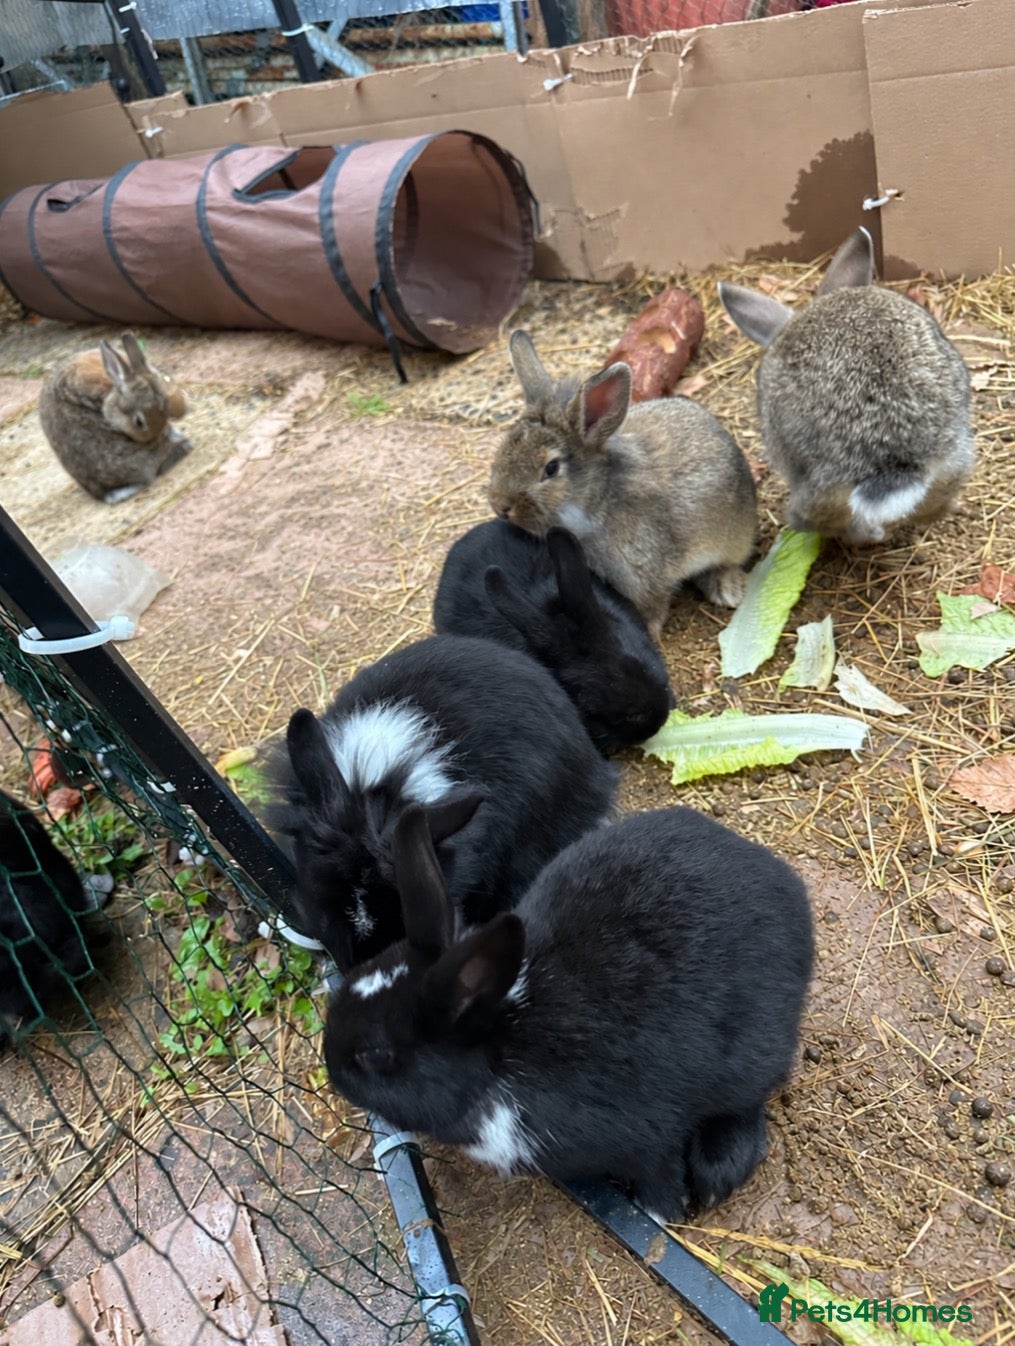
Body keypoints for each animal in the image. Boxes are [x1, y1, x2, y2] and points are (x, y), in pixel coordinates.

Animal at [324, 803, 814, 1224]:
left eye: (377, 1055)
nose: (331, 1067)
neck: (502, 1051)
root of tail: (785, 886)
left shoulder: (647, 1135)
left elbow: (658, 1175)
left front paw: (662, 1214)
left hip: (752, 1052)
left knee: (749, 1100)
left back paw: (717, 1172)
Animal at [487, 330, 758, 641]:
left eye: (551, 469)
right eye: (503, 450)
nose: (500, 505)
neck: (593, 505)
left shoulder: (645, 575)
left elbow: (652, 609)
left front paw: (650, 637)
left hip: (732, 537)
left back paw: (727, 588)